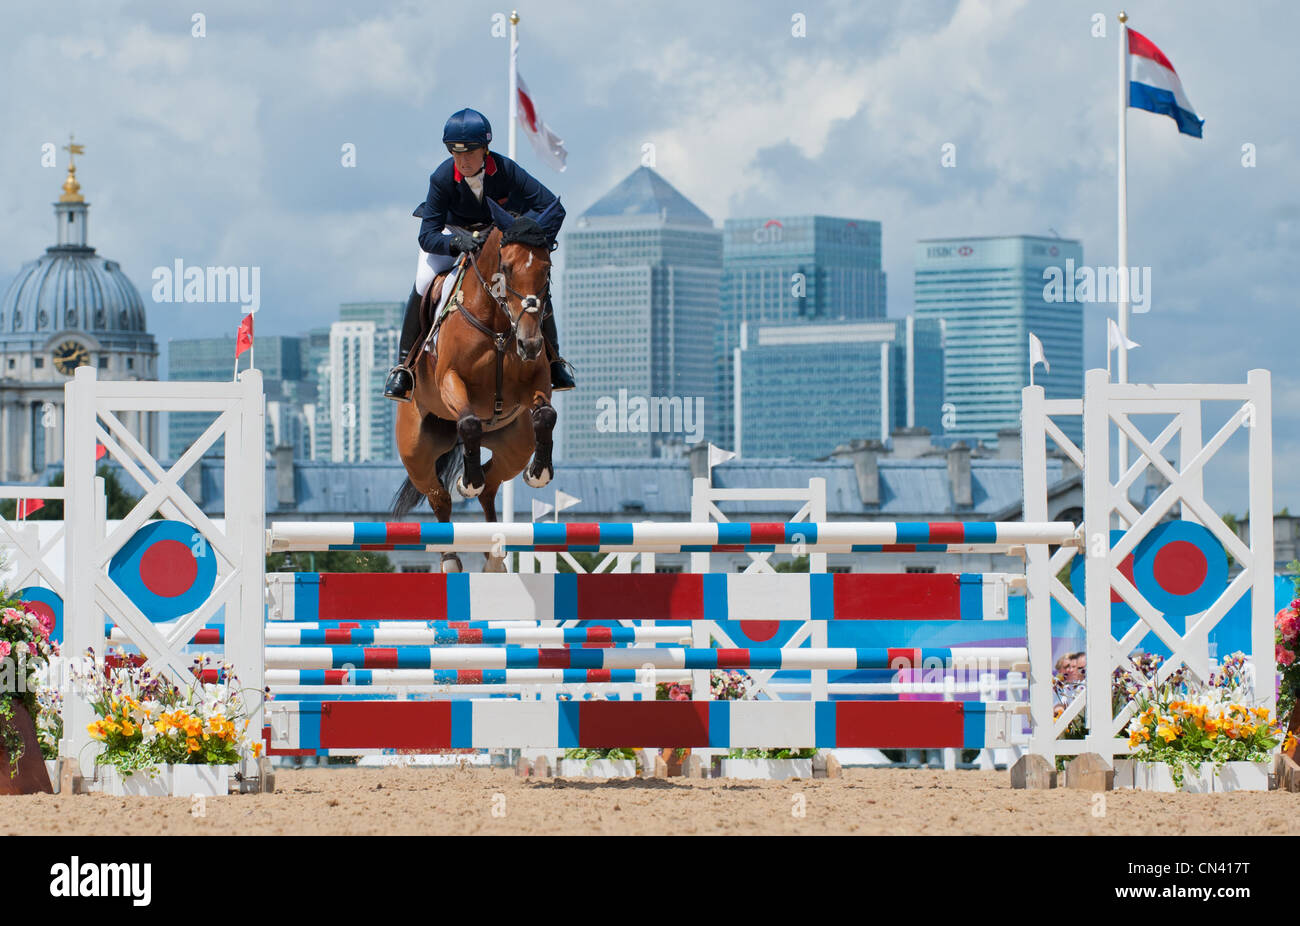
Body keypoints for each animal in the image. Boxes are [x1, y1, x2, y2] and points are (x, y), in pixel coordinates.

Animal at [387, 197, 556, 572]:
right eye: (506, 267)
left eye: (547, 268)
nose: (530, 344)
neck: (500, 325)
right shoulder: (450, 380)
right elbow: (469, 423)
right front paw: (468, 481)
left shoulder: (536, 382)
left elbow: (546, 416)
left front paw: (539, 473)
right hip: (416, 453)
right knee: (439, 497)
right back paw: (451, 557)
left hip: (514, 446)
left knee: (492, 484)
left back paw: (494, 555)